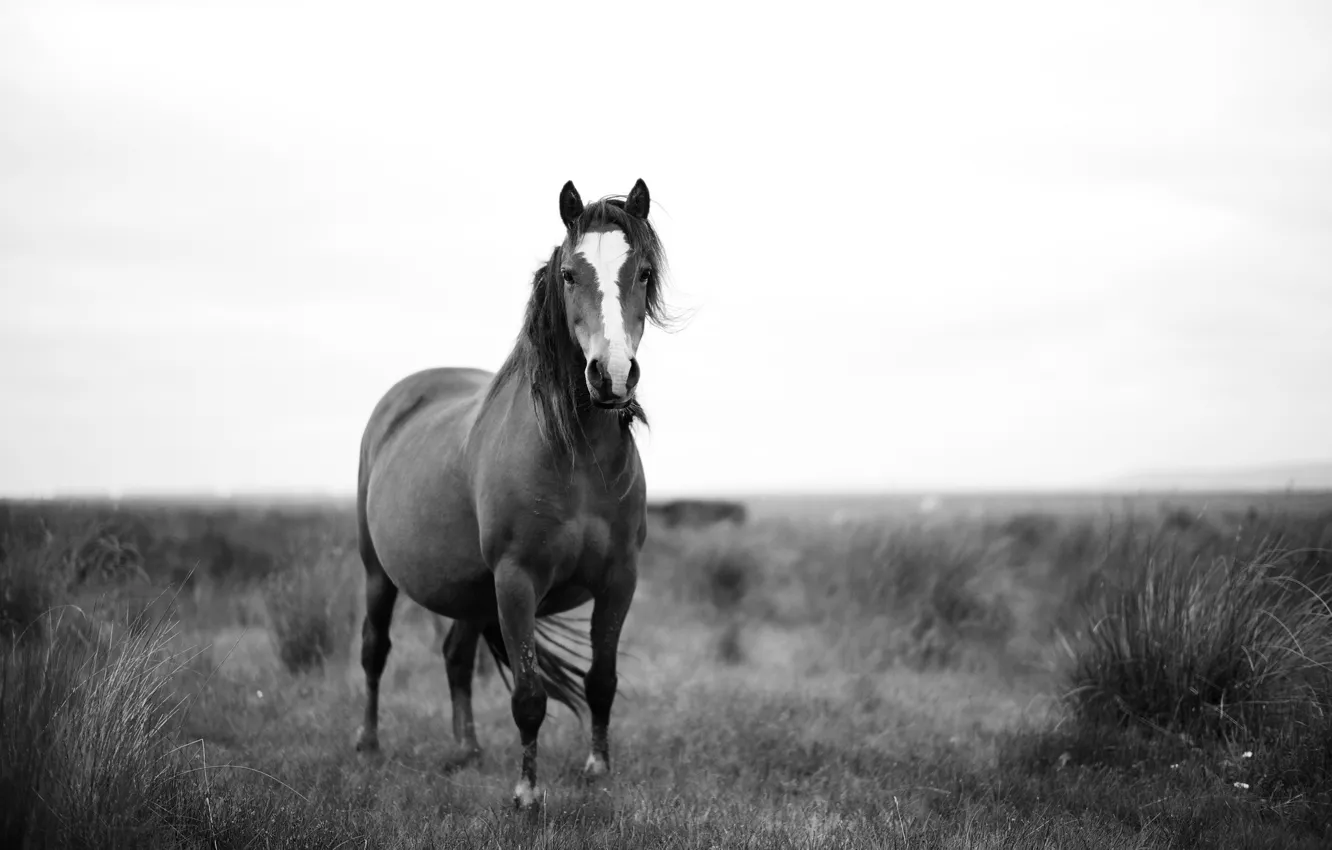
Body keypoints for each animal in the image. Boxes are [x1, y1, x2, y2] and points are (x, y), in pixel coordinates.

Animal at [354, 179, 668, 809]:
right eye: (569, 274)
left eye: (644, 272)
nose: (612, 375)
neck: (578, 462)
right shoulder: (517, 581)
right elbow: (528, 696)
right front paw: (526, 794)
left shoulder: (619, 579)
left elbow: (601, 681)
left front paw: (598, 770)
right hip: (378, 570)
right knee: (375, 649)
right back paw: (369, 745)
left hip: (470, 591)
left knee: (455, 657)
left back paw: (466, 749)